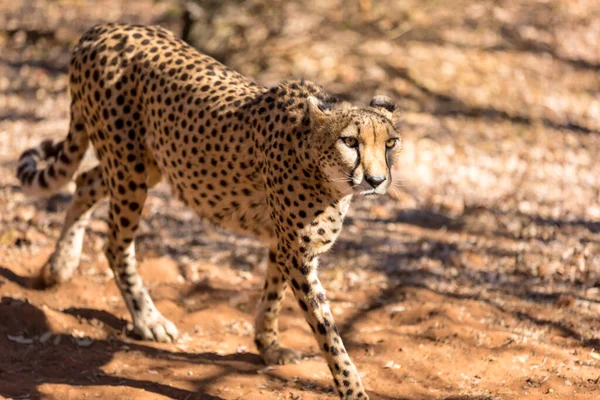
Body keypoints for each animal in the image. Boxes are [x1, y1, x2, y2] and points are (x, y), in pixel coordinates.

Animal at [16, 23, 404, 398]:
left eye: (390, 143)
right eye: (350, 141)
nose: (376, 180)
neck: (322, 168)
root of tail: (100, 29)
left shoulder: (285, 245)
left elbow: (273, 293)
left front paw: (268, 345)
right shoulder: (297, 251)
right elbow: (328, 334)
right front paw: (353, 390)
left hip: (144, 164)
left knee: (85, 180)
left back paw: (59, 266)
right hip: (128, 170)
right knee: (115, 245)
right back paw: (147, 320)